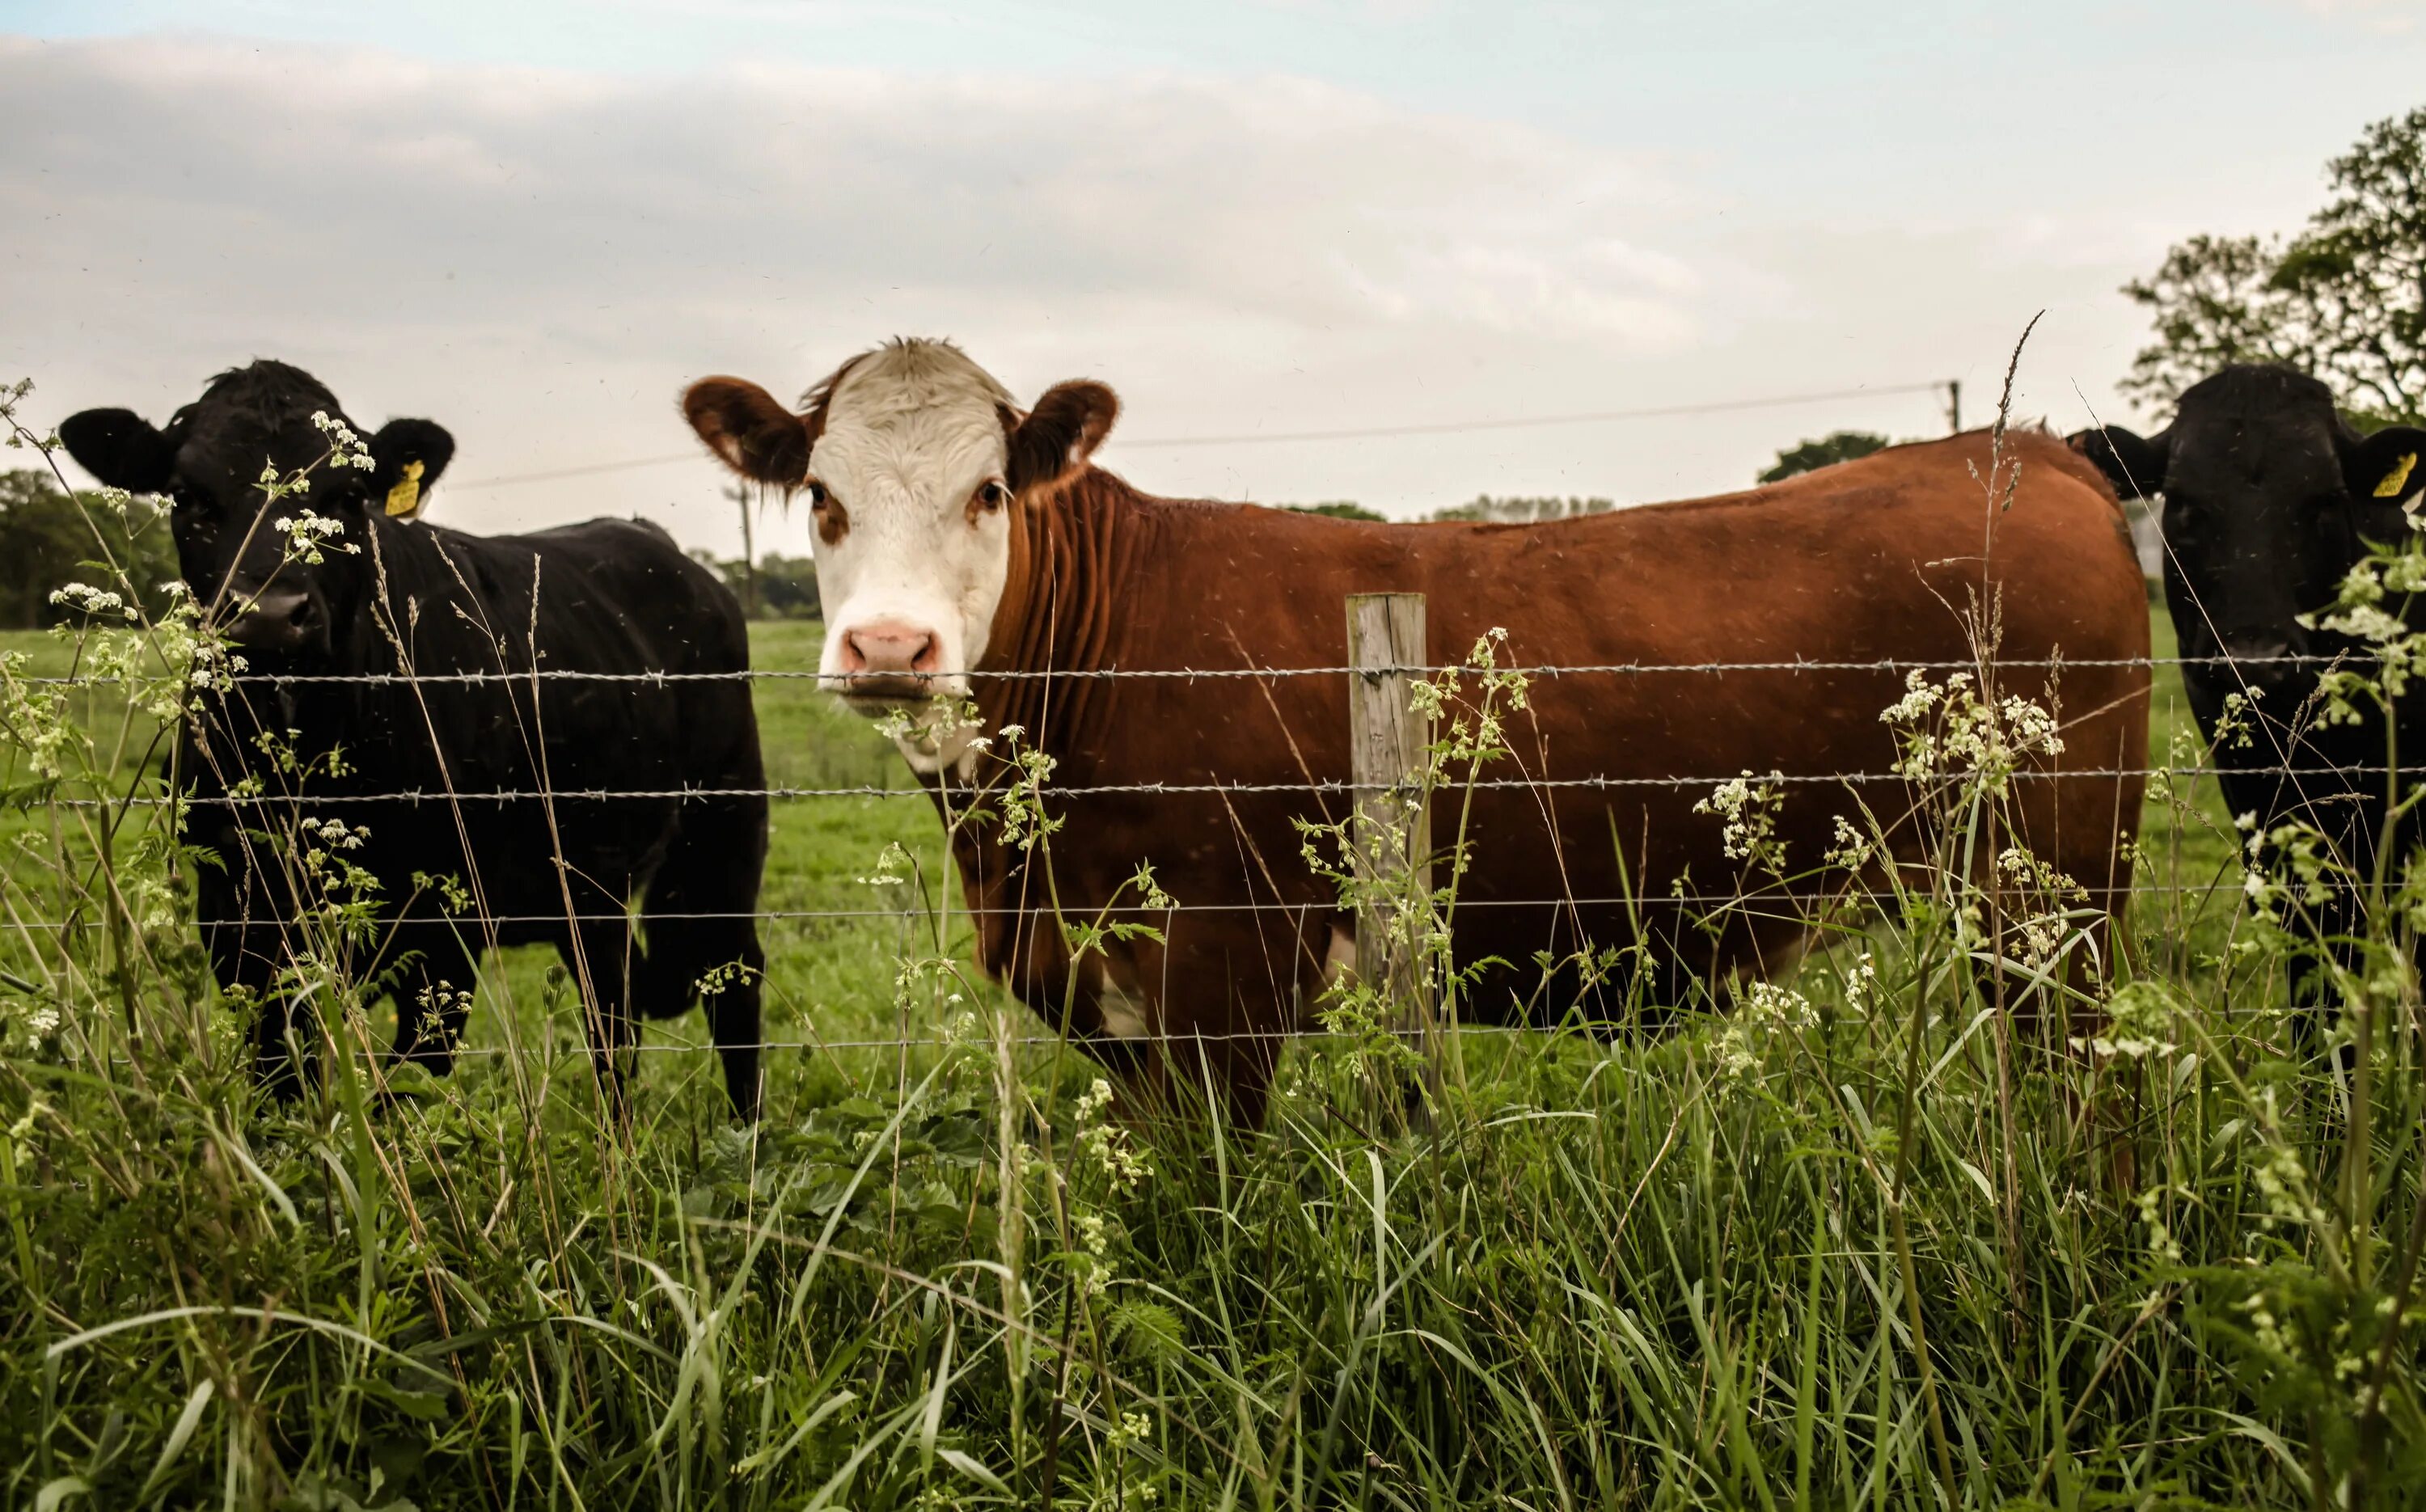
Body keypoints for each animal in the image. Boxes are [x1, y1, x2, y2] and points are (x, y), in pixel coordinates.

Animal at [59, 361, 767, 1116]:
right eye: (189, 496)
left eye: (347, 496)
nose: (273, 614)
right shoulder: (235, 913)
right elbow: (278, 1068)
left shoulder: (440, 925)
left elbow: (411, 1072)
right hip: (587, 884)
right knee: (617, 1007)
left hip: (721, 829)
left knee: (726, 979)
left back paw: (737, 1130)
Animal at [684, 342, 2145, 1126]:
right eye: (818, 496)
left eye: (990, 490)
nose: (890, 649)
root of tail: (2017, 449)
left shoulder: (1227, 969)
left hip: (2048, 891)